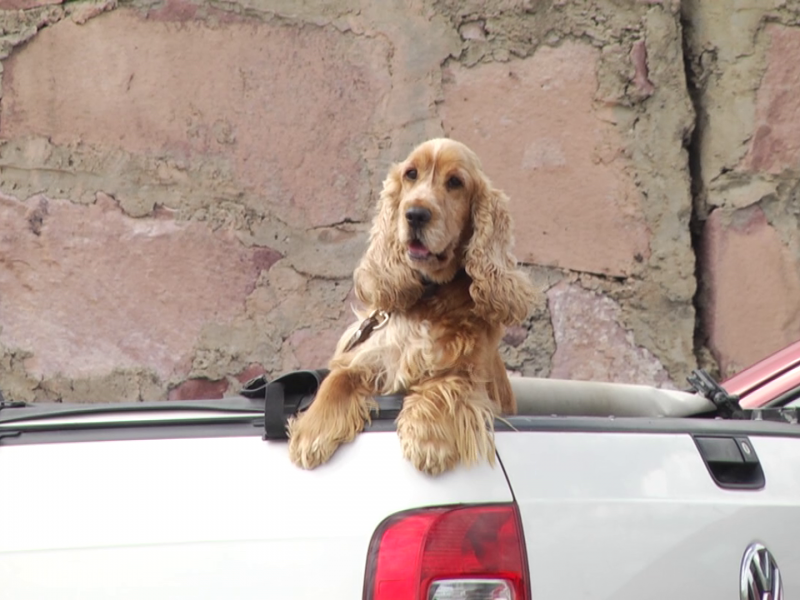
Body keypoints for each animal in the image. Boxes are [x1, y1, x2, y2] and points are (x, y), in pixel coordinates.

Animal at [284, 138, 536, 476]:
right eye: (411, 174)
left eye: (455, 182)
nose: (415, 214)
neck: (429, 295)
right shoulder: (372, 354)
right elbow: (337, 379)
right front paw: (312, 432)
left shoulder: (468, 371)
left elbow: (443, 387)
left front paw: (428, 443)